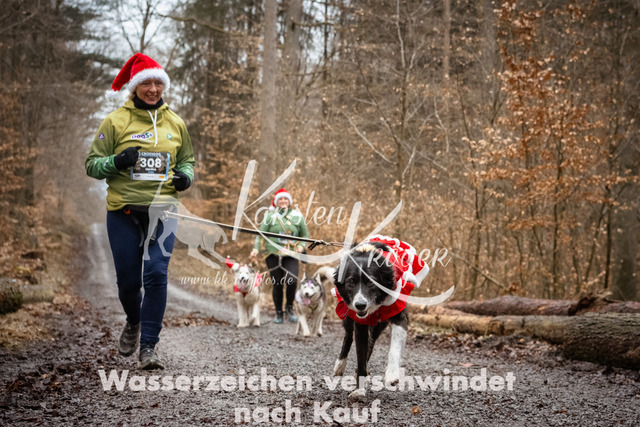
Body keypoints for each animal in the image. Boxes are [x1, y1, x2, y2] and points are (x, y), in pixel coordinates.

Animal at [331, 236, 429, 399]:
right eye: (351, 282)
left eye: (371, 282)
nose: (360, 305)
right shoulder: (360, 323)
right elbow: (360, 354)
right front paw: (360, 389)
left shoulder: (399, 315)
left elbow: (393, 348)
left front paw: (392, 374)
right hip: (348, 313)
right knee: (348, 336)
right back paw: (340, 365)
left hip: (379, 324)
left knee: (371, 343)